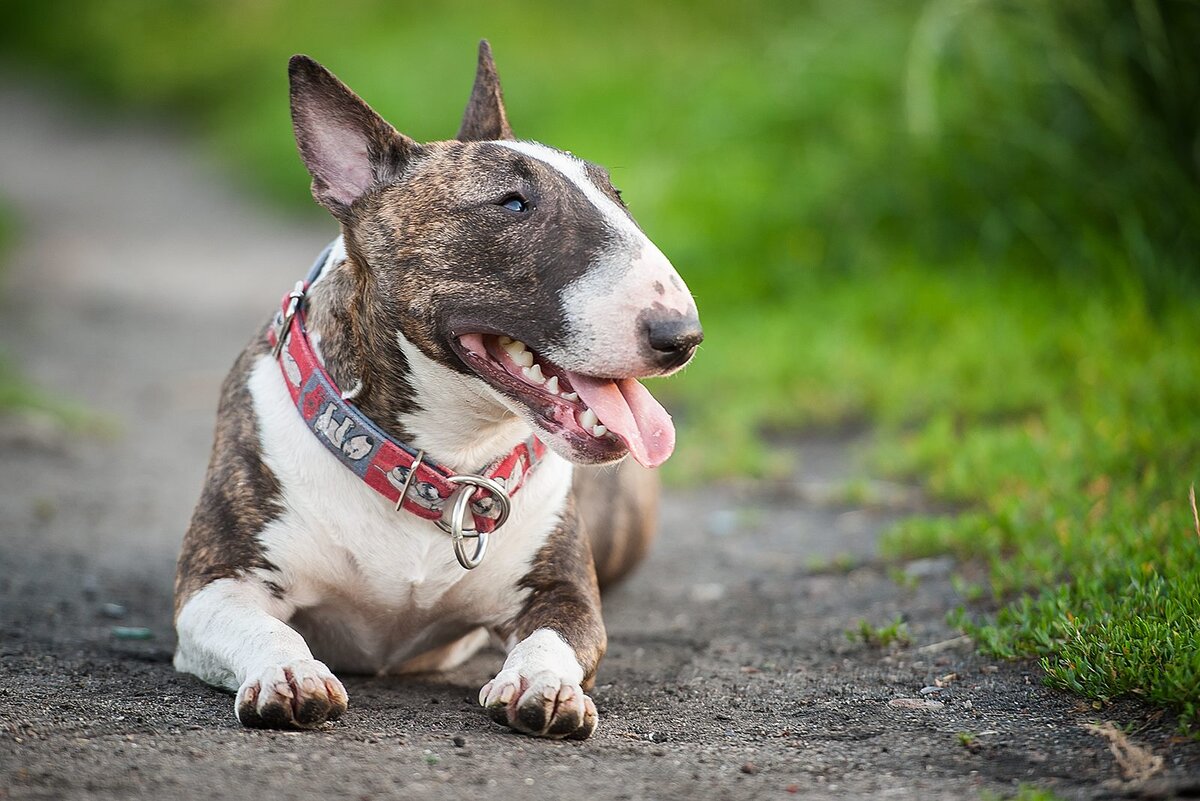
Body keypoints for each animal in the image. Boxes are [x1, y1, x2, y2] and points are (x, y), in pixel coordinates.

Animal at [176, 38, 700, 738]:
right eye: (513, 204)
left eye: (617, 194)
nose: (683, 335)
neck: (438, 462)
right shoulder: (212, 586)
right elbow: (261, 627)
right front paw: (289, 674)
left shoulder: (561, 591)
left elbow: (556, 636)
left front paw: (542, 684)